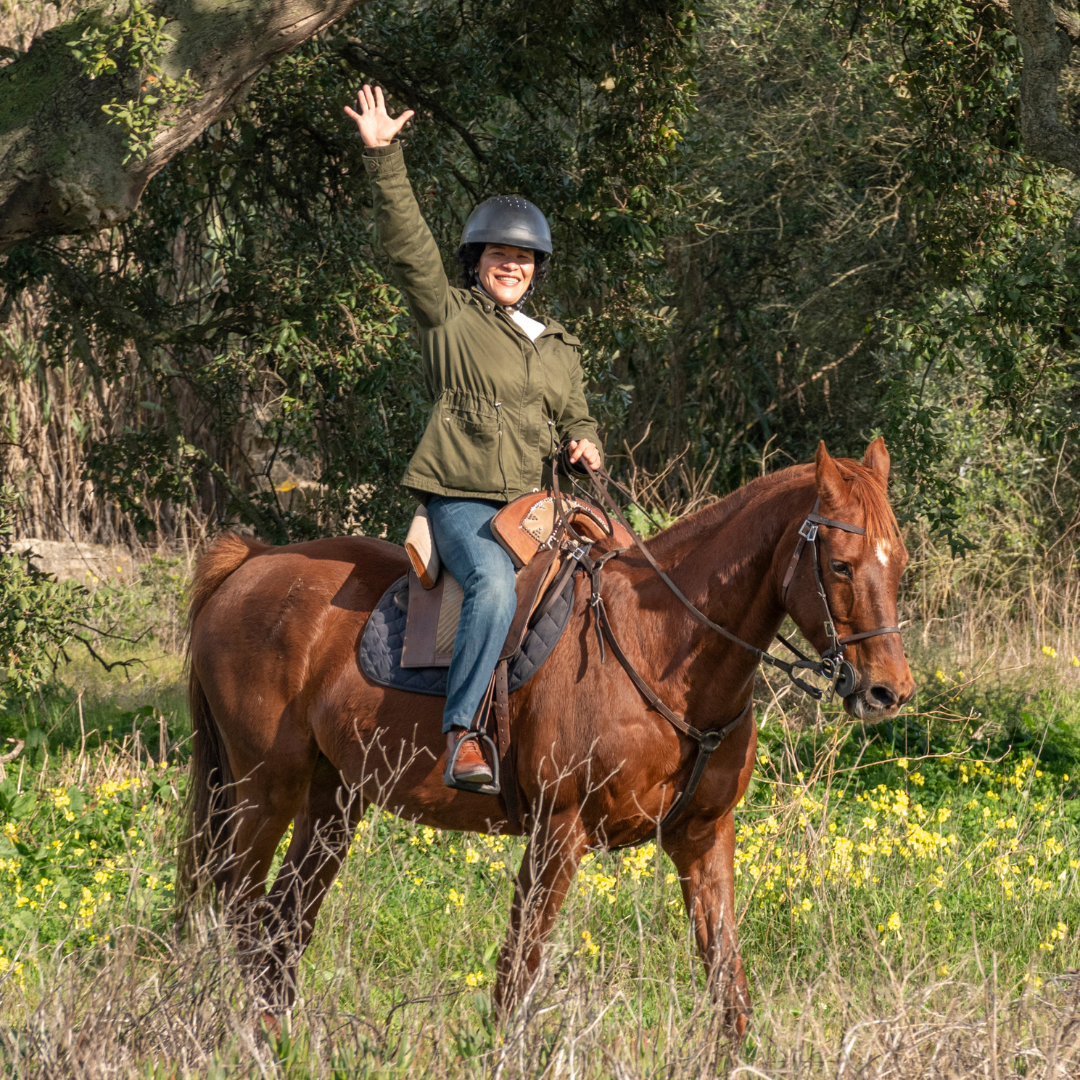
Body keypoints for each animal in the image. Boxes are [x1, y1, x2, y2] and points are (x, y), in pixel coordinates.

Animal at [183, 436, 911, 1028]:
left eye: (898, 560)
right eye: (840, 565)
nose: (889, 690)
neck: (660, 648)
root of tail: (250, 564)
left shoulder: (703, 839)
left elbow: (727, 989)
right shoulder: (556, 834)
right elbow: (515, 983)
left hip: (334, 800)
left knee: (281, 930)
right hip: (263, 792)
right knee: (243, 914)